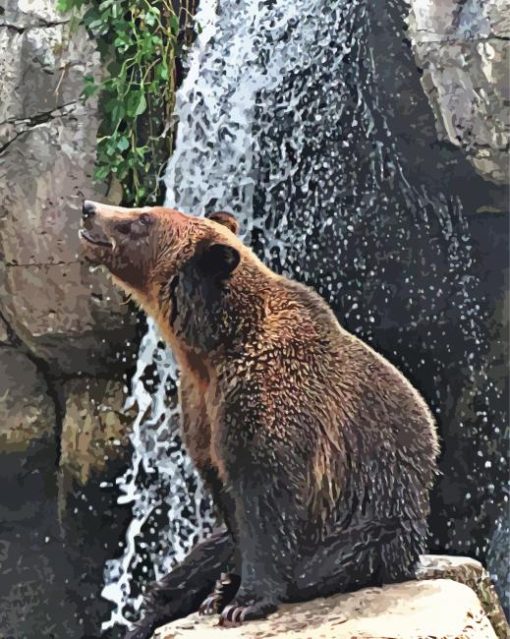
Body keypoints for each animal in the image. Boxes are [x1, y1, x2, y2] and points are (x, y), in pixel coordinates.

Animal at [79, 201, 438, 639]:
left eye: (141, 219)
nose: (89, 208)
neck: (211, 348)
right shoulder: (201, 409)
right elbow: (229, 508)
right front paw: (224, 590)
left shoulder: (272, 396)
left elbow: (266, 499)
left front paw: (244, 602)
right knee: (199, 557)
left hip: (376, 517)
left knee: (332, 561)